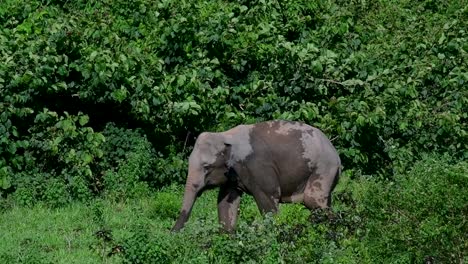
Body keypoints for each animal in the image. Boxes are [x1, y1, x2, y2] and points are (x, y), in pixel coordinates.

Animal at [171, 118, 340, 232]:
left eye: (206, 167)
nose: (171, 233)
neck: (225, 135)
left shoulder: (258, 168)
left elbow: (268, 199)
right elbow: (225, 203)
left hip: (323, 169)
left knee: (313, 201)